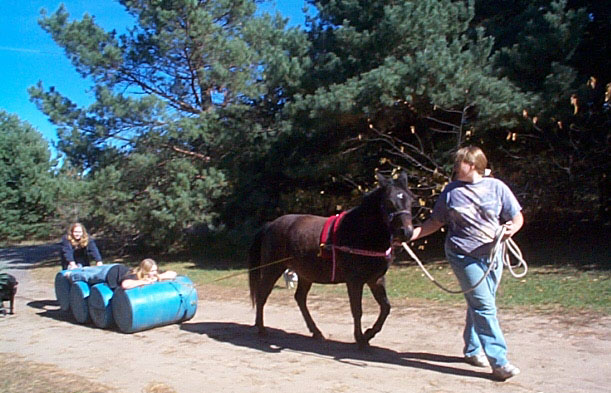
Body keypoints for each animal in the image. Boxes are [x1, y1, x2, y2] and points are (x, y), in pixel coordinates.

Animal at [250, 172, 416, 346]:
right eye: (388, 201)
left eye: (411, 200)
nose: (406, 232)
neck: (359, 233)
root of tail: (270, 225)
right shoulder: (354, 281)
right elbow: (357, 310)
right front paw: (360, 338)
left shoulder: (375, 279)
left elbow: (385, 307)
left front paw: (369, 334)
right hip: (272, 269)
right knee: (262, 294)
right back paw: (261, 328)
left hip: (305, 275)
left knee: (300, 298)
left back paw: (316, 332)